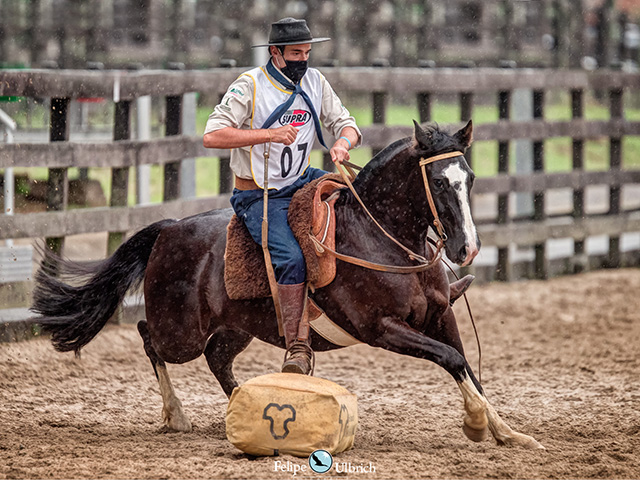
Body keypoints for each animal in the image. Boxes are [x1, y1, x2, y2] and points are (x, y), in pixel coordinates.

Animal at [32, 121, 544, 450]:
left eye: (469, 178)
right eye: (438, 181)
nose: (467, 248)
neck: (381, 237)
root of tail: (171, 228)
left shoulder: (441, 315)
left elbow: (466, 366)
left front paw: (508, 432)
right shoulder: (381, 328)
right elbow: (452, 359)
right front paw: (477, 425)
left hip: (235, 328)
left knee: (218, 360)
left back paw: (245, 410)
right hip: (180, 331)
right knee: (148, 337)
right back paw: (176, 415)